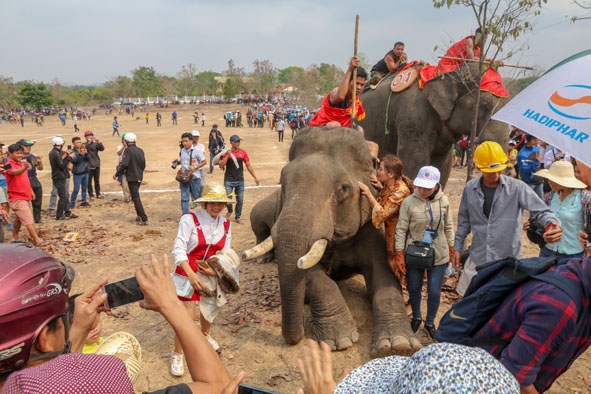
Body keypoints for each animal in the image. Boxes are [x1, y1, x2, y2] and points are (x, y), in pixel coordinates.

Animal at [243, 126, 424, 358]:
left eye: (344, 188)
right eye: (283, 182)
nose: (297, 337)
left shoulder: (370, 227)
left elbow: (384, 275)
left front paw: (398, 345)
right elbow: (315, 278)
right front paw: (340, 341)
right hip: (264, 207)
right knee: (257, 220)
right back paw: (263, 258)